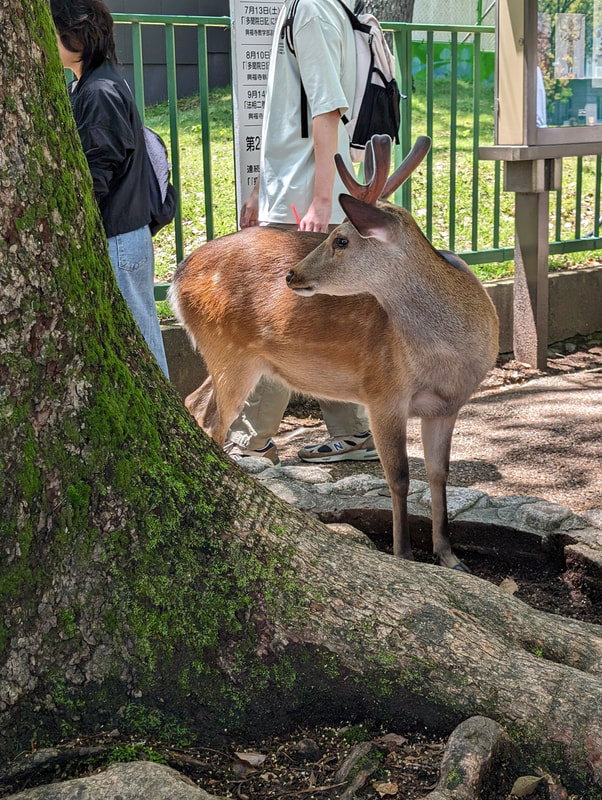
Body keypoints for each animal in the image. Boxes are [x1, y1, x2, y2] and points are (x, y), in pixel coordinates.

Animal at [168, 134, 496, 572]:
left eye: (341, 239)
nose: (291, 274)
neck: (448, 360)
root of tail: (176, 276)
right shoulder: (382, 391)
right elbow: (399, 476)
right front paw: (405, 554)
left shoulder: (447, 405)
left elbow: (438, 473)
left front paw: (450, 556)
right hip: (227, 350)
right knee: (213, 423)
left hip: (229, 354)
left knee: (194, 402)